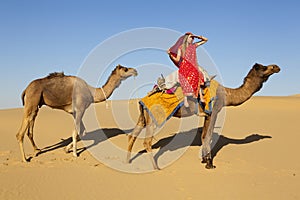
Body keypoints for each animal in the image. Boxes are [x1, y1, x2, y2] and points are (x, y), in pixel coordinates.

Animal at [127, 62, 282, 169]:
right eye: (263, 68)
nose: (276, 67)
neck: (227, 94)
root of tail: (143, 99)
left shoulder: (207, 114)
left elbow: (203, 136)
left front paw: (204, 160)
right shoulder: (215, 110)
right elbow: (208, 136)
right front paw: (210, 164)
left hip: (143, 116)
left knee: (132, 135)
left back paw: (127, 161)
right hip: (155, 117)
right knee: (147, 141)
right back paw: (156, 167)